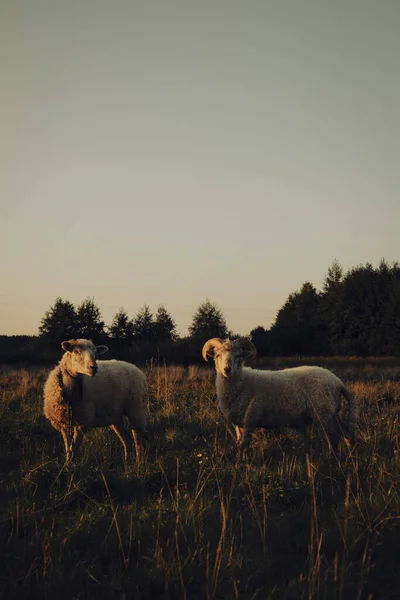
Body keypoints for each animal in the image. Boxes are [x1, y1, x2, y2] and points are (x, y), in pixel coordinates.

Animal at [203, 336, 356, 458]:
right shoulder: (239, 423)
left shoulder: (250, 419)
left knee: (334, 438)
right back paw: (350, 456)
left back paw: (332, 460)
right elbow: (240, 443)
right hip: (331, 413)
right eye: (217, 355)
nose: (227, 370)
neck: (242, 381)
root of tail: (338, 382)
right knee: (346, 434)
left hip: (324, 413)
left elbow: (244, 445)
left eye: (238, 356)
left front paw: (242, 464)